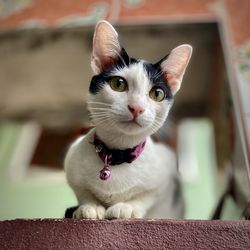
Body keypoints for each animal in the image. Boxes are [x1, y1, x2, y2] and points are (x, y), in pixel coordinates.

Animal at [64, 20, 191, 219]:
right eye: (118, 84)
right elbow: (83, 192)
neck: (118, 155)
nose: (136, 107)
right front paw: (90, 206)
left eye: (157, 94)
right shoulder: (72, 161)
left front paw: (127, 207)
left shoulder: (166, 171)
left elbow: (147, 196)